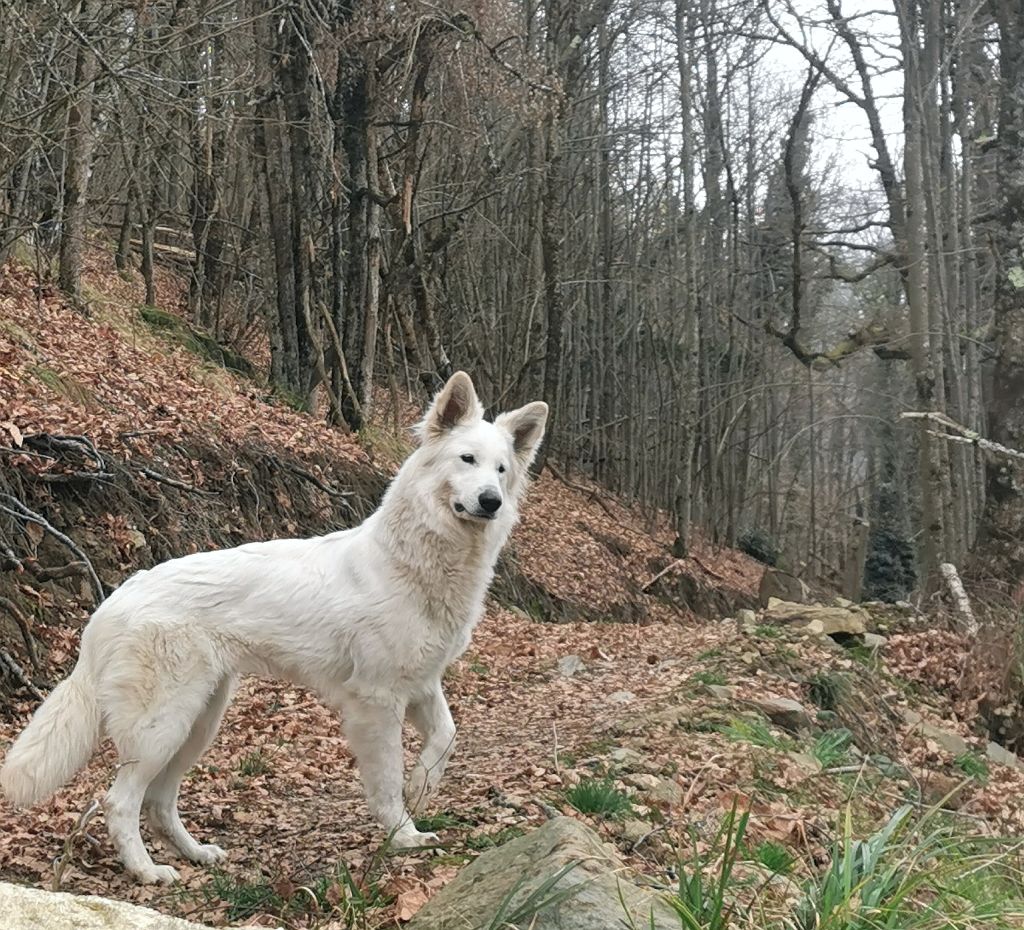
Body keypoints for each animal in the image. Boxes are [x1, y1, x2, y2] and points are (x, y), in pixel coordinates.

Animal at [0, 370, 548, 880]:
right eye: (466, 460)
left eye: (502, 470)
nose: (492, 501)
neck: (412, 562)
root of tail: (115, 597)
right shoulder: (377, 701)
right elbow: (387, 779)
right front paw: (402, 834)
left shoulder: (422, 685)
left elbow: (447, 737)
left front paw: (424, 788)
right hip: (164, 726)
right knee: (119, 802)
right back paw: (147, 871)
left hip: (200, 721)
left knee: (157, 803)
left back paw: (196, 853)